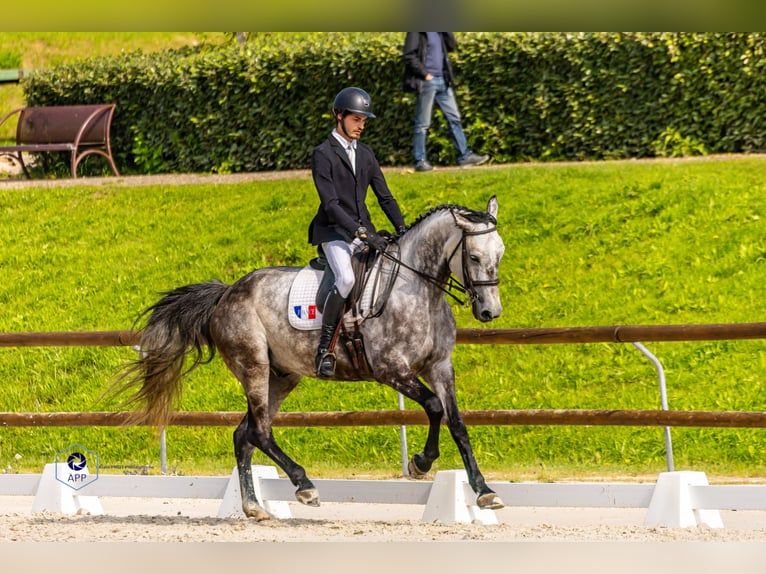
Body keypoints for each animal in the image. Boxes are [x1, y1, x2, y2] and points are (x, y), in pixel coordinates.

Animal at [114, 197, 508, 520]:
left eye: (500, 254)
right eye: (473, 257)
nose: (490, 312)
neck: (417, 288)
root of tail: (227, 293)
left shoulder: (440, 366)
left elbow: (457, 423)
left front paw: (484, 491)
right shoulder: (391, 369)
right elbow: (434, 407)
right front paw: (420, 464)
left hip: (282, 376)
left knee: (244, 434)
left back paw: (254, 507)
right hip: (254, 365)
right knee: (259, 431)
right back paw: (304, 486)